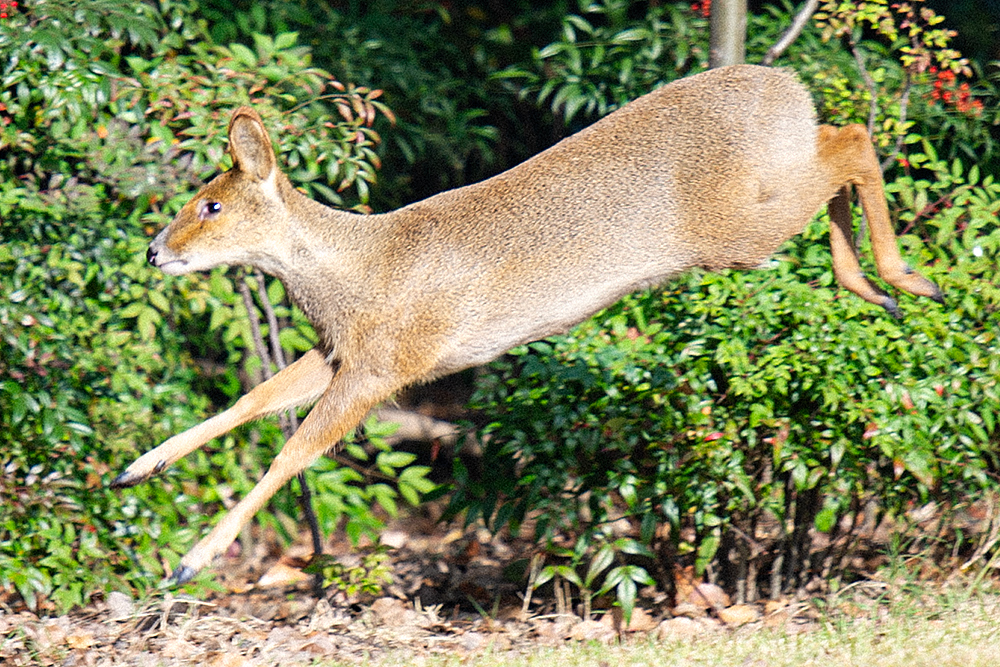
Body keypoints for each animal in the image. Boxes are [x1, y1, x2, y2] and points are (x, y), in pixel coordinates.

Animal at [113, 65, 940, 580]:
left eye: (210, 204)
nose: (154, 250)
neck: (357, 273)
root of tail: (785, 85)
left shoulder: (386, 364)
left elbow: (294, 452)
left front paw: (190, 560)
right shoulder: (340, 352)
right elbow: (251, 399)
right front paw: (139, 466)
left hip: (735, 229)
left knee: (852, 141)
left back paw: (902, 279)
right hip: (760, 202)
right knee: (841, 138)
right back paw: (876, 287)